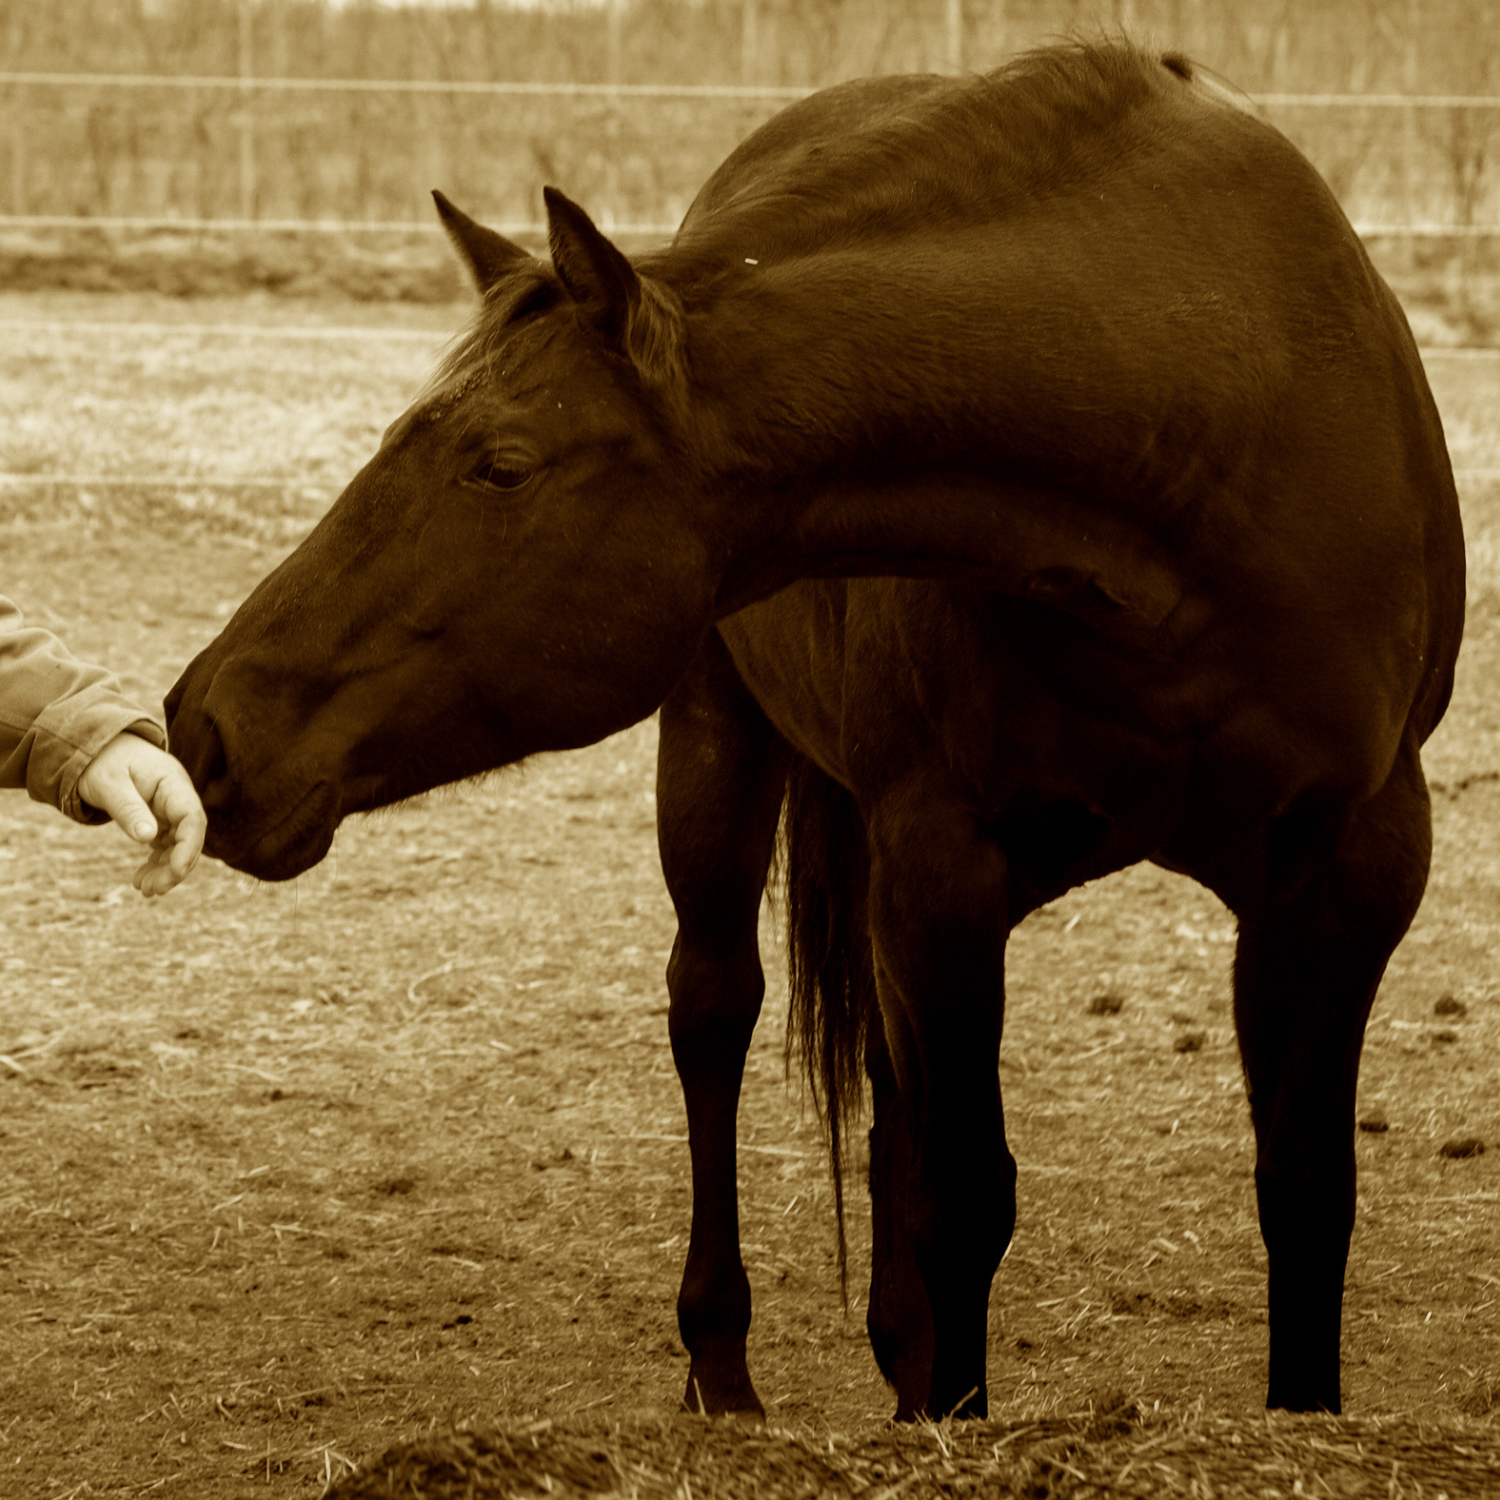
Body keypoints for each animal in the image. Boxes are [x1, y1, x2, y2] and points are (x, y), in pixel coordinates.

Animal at [165, 42, 1465, 1422]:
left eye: (501, 464)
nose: (207, 724)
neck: (1202, 417)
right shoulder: (941, 866)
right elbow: (965, 1198)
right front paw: (947, 1412)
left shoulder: (1344, 875)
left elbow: (1305, 1197)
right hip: (720, 749)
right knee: (715, 1013)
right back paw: (726, 1367)